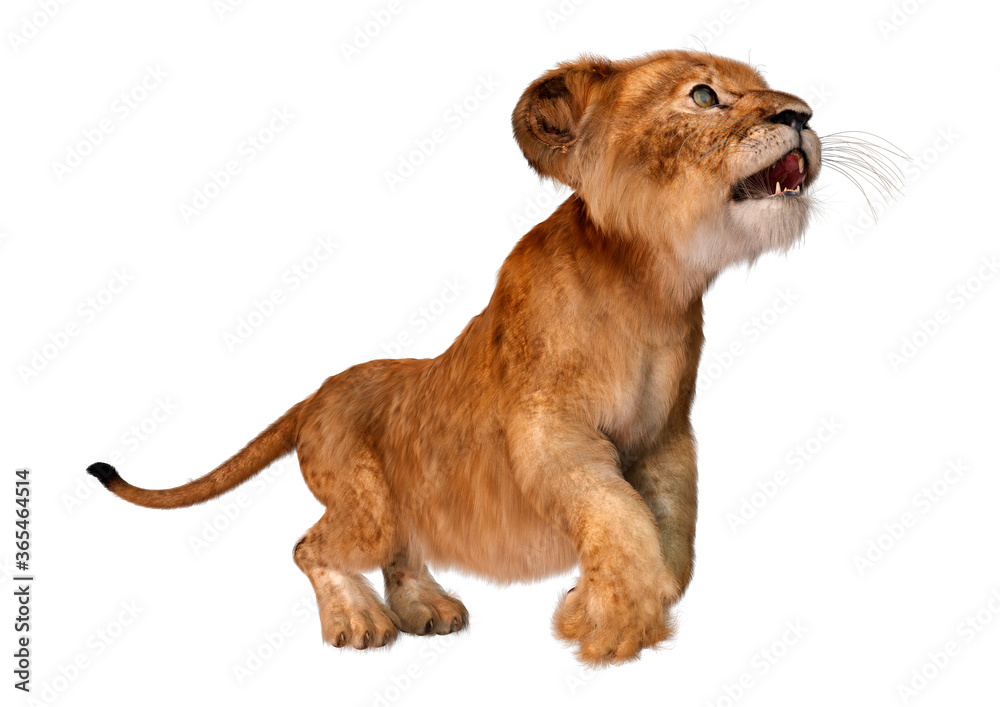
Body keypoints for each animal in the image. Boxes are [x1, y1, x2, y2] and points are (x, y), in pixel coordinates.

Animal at [88, 49, 824, 666]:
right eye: (703, 95)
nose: (802, 116)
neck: (650, 285)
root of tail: (318, 392)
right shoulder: (549, 431)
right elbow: (618, 513)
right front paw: (610, 627)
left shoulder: (665, 438)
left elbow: (672, 533)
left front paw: (602, 603)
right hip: (366, 503)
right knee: (312, 545)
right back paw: (359, 622)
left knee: (399, 551)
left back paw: (428, 610)